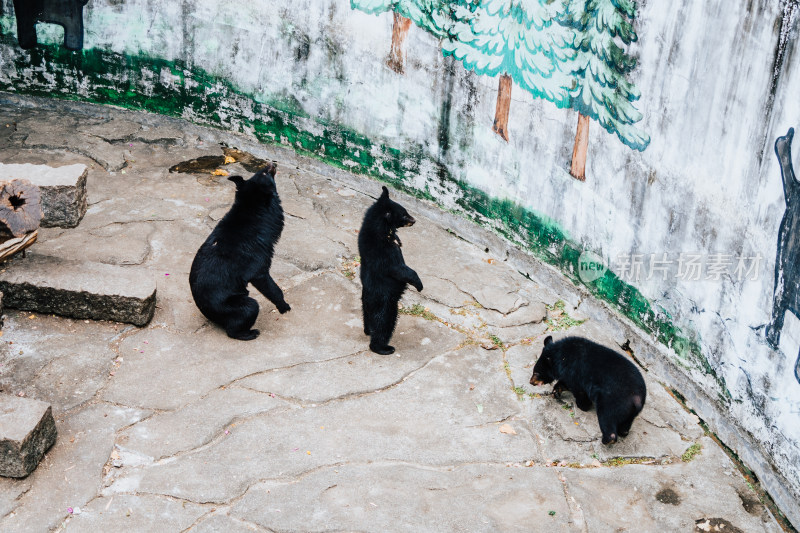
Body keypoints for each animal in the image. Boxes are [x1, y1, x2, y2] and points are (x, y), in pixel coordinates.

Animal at [188, 161, 290, 340]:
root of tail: (208, 314)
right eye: (264, 173)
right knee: (247, 311)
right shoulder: (256, 256)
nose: (272, 163)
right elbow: (264, 279)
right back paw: (250, 333)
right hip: (233, 305)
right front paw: (284, 306)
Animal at [360, 185, 424, 356]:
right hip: (386, 303)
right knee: (384, 324)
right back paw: (384, 348)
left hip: (367, 305)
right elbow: (399, 269)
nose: (414, 220)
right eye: (404, 214)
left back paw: (367, 330)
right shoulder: (383, 251)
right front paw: (420, 285)